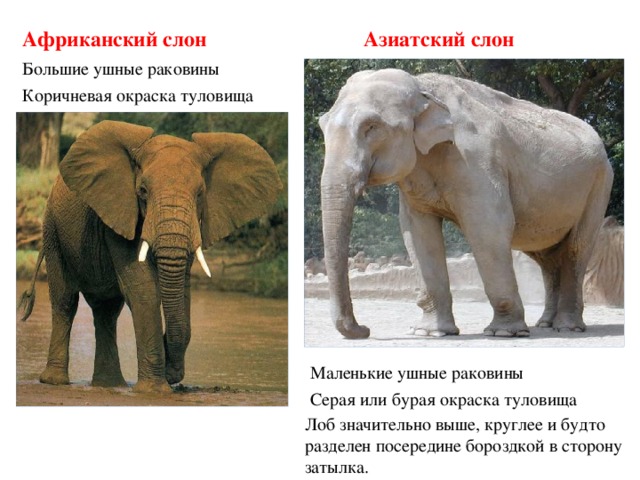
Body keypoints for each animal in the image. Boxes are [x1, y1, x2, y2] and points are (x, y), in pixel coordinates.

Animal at [19, 120, 282, 391]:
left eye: (200, 193)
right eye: (143, 191)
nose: (173, 373)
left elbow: (182, 289)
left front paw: (167, 375)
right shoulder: (122, 211)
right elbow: (144, 290)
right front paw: (155, 390)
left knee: (106, 311)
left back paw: (109, 385)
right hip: (52, 231)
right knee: (66, 300)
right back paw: (55, 382)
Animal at [319, 69, 613, 339]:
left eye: (371, 127)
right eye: (322, 126)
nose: (365, 329)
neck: (422, 87)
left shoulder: (476, 159)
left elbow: (489, 228)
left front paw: (503, 333)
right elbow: (418, 234)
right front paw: (429, 333)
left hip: (599, 185)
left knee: (575, 249)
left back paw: (568, 327)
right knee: (547, 258)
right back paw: (545, 324)